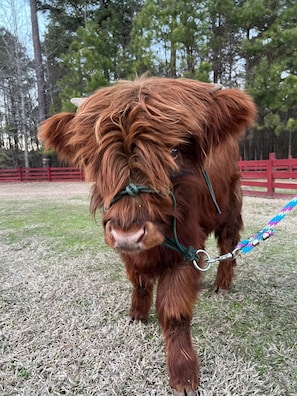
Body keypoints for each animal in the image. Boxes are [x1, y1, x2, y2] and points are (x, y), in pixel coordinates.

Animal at [39, 76, 256, 394]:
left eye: (174, 151)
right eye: (97, 158)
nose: (128, 234)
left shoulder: (185, 250)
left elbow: (174, 311)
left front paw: (183, 374)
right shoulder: (130, 253)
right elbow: (139, 283)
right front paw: (137, 317)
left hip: (230, 207)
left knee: (229, 244)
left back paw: (222, 285)